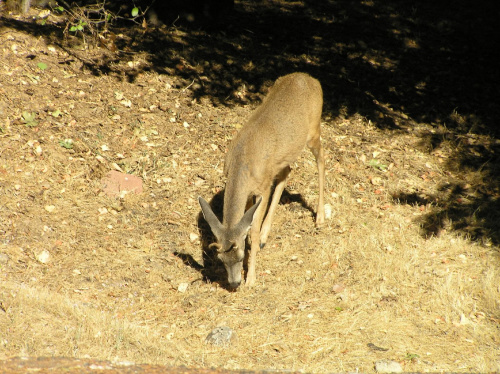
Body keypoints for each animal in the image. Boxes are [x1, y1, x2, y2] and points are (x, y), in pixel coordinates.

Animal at [197, 73, 326, 290]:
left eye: (240, 257)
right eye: (221, 260)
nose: (234, 283)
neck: (242, 164)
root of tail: (311, 78)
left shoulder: (263, 187)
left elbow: (253, 231)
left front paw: (251, 278)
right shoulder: (251, 190)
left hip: (314, 130)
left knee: (322, 160)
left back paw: (320, 217)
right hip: (284, 156)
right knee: (288, 171)